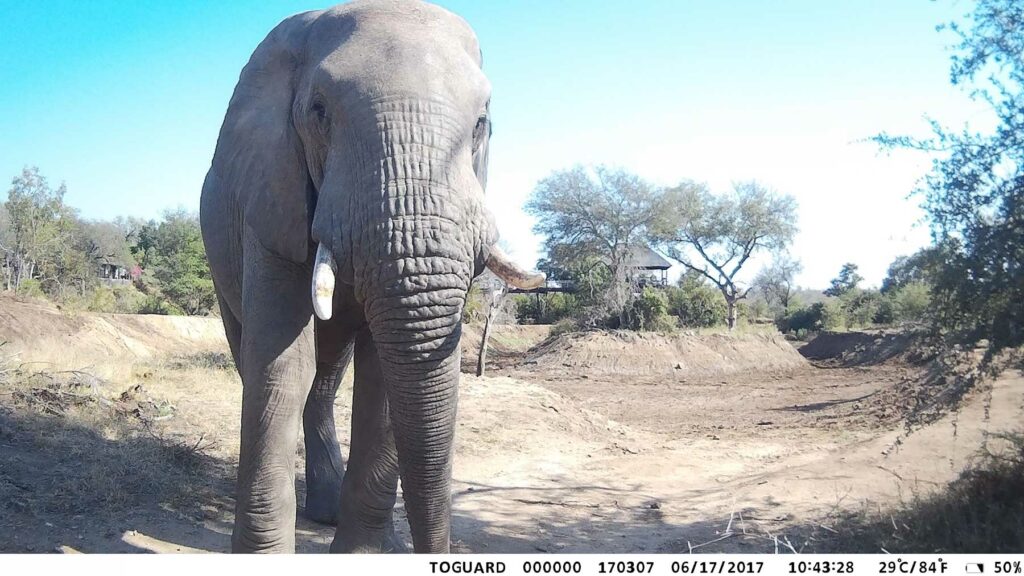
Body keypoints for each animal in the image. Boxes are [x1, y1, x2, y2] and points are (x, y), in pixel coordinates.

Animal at [199, 0, 543, 553]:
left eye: (481, 124)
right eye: (319, 112)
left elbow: (382, 379)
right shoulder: (270, 198)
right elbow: (280, 366)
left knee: (328, 373)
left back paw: (337, 517)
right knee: (263, 359)